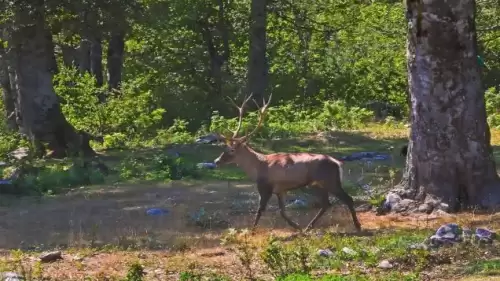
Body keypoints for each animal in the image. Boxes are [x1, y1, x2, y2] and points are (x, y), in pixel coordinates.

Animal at [213, 93, 362, 231]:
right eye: (224, 148)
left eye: (232, 150)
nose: (216, 161)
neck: (258, 167)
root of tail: (337, 164)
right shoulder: (280, 190)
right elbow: (282, 212)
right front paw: (297, 227)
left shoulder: (265, 186)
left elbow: (260, 210)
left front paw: (251, 231)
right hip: (319, 184)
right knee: (326, 204)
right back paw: (308, 227)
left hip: (330, 181)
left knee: (347, 199)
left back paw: (357, 226)